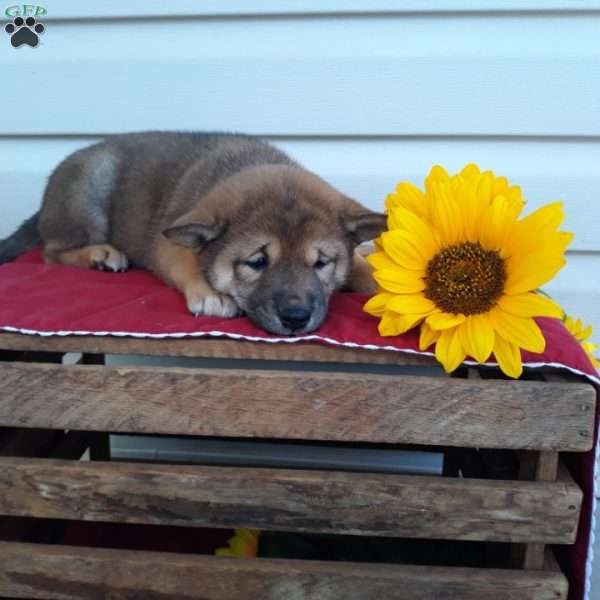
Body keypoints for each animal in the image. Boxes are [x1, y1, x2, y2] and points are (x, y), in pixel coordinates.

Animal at [0, 132, 384, 336]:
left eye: (321, 262)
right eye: (257, 262)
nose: (295, 318)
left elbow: (362, 267)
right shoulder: (165, 245)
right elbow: (187, 263)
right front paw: (211, 293)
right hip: (90, 192)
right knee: (52, 251)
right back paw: (100, 254)